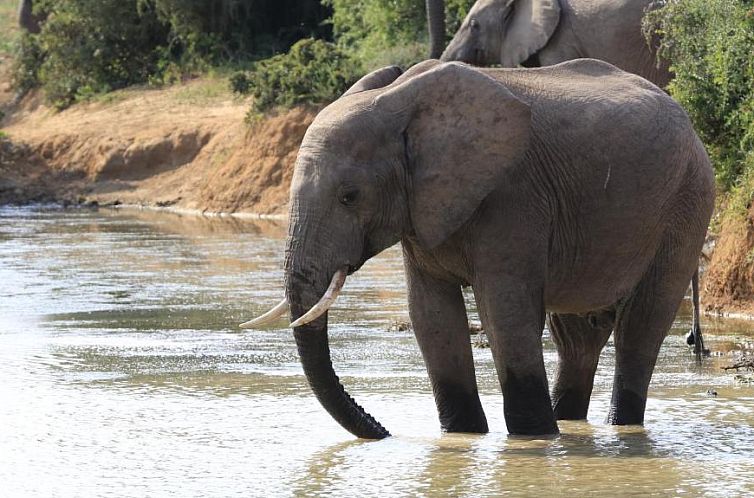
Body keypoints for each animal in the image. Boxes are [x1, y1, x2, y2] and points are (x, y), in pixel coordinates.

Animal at [242, 59, 712, 440]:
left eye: (349, 197)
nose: (384, 431)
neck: (404, 103)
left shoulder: (513, 196)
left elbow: (505, 313)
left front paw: (532, 439)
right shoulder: (423, 211)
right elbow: (431, 315)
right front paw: (464, 436)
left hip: (687, 201)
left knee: (642, 323)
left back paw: (614, 425)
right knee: (579, 335)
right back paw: (569, 421)